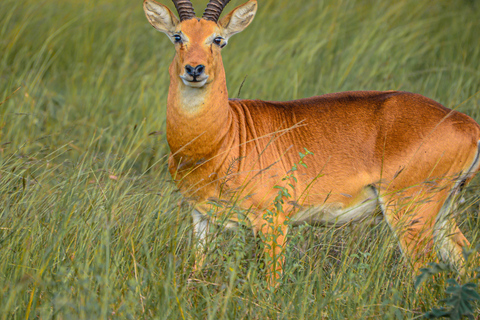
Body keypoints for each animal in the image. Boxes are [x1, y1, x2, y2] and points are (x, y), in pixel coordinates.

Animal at [143, 0, 480, 284]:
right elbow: (195, 270)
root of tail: (467, 123)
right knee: (467, 259)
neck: (223, 139)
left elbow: (272, 283)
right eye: (178, 36)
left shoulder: (273, 221)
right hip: (443, 213)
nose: (194, 69)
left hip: (410, 213)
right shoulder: (201, 217)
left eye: (218, 39)